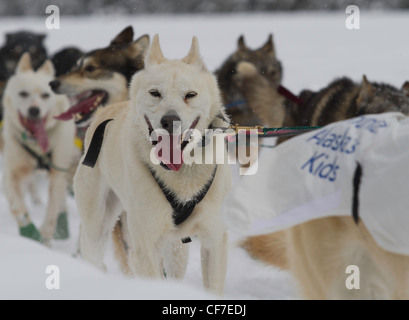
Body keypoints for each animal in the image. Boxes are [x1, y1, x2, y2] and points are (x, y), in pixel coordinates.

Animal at [2, 53, 76, 242]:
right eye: (23, 93)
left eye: (45, 95)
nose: (34, 110)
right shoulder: (11, 174)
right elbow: (17, 205)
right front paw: (29, 232)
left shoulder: (57, 174)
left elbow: (51, 213)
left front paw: (45, 238)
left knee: (60, 202)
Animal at [73, 35, 231, 296]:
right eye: (155, 93)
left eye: (190, 94)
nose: (170, 120)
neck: (182, 175)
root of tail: (104, 112)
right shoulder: (144, 248)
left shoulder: (214, 239)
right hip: (98, 223)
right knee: (93, 253)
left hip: (176, 247)